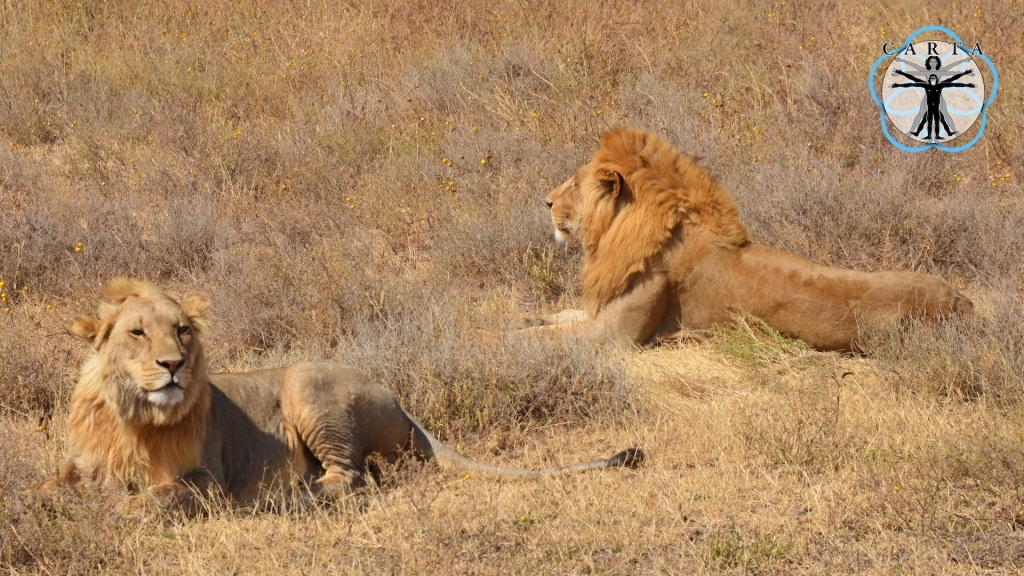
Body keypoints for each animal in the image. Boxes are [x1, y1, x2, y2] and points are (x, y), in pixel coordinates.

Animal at [44, 278, 643, 516]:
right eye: (138, 333)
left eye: (183, 331)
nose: (175, 366)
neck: (131, 415)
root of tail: (399, 401)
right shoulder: (81, 459)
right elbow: (50, 484)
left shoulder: (209, 480)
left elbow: (161, 496)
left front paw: (123, 508)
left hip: (304, 382)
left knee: (352, 478)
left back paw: (293, 496)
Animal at [524, 126, 970, 350]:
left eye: (575, 183)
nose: (545, 202)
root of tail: (960, 300)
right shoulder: (599, 314)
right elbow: (560, 317)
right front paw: (529, 317)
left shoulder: (617, 336)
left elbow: (546, 339)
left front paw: (508, 341)